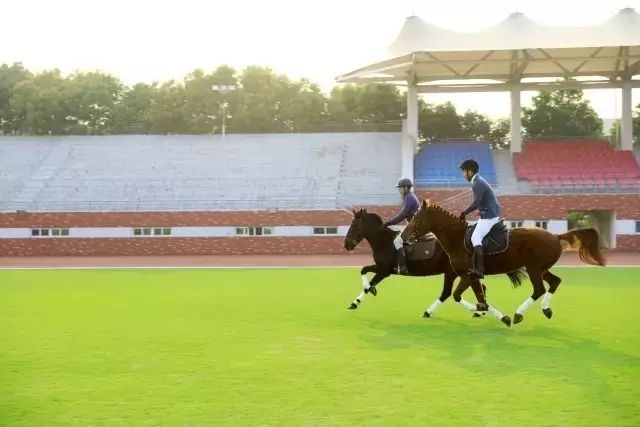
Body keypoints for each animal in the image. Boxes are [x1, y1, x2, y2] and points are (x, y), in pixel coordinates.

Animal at [402, 200, 608, 324]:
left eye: (416, 217)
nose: (403, 236)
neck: (457, 238)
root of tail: (556, 237)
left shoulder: (467, 276)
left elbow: (460, 296)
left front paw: (486, 311)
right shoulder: (470, 277)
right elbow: (478, 297)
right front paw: (496, 315)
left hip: (533, 269)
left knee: (539, 289)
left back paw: (519, 314)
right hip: (541, 269)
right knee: (555, 282)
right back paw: (546, 310)